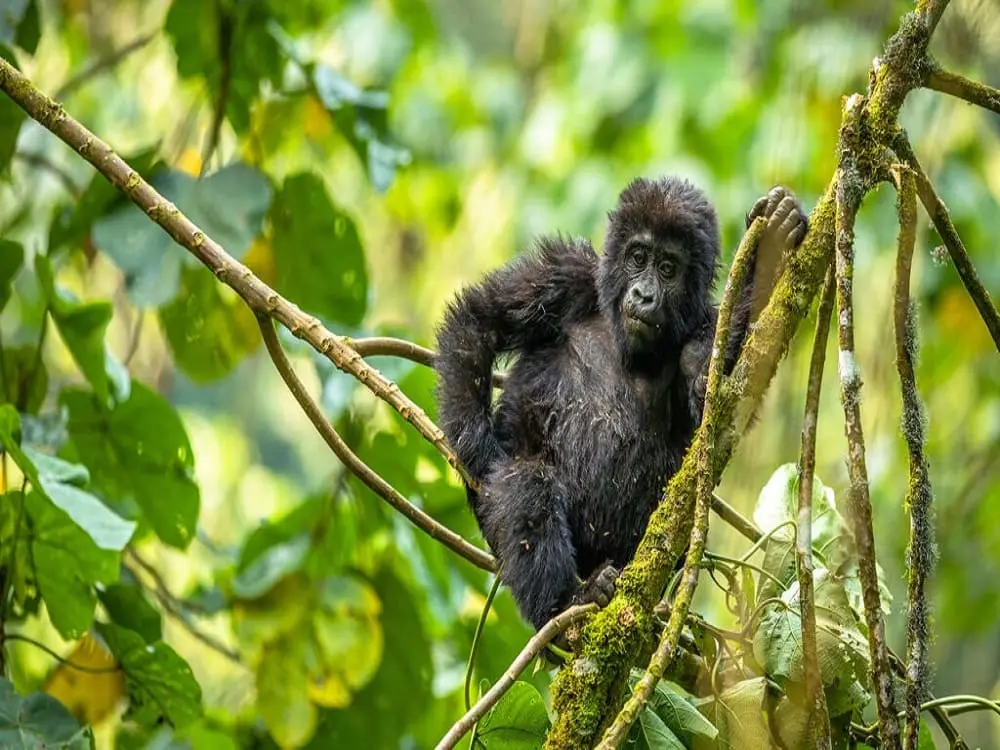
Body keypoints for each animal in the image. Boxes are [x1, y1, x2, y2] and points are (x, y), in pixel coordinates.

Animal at [434, 178, 808, 629]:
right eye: (638, 257)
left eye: (668, 268)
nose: (644, 295)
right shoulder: (566, 273)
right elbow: (480, 320)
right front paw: (478, 448)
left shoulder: (704, 329)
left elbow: (715, 403)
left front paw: (771, 248)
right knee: (527, 484)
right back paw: (565, 603)